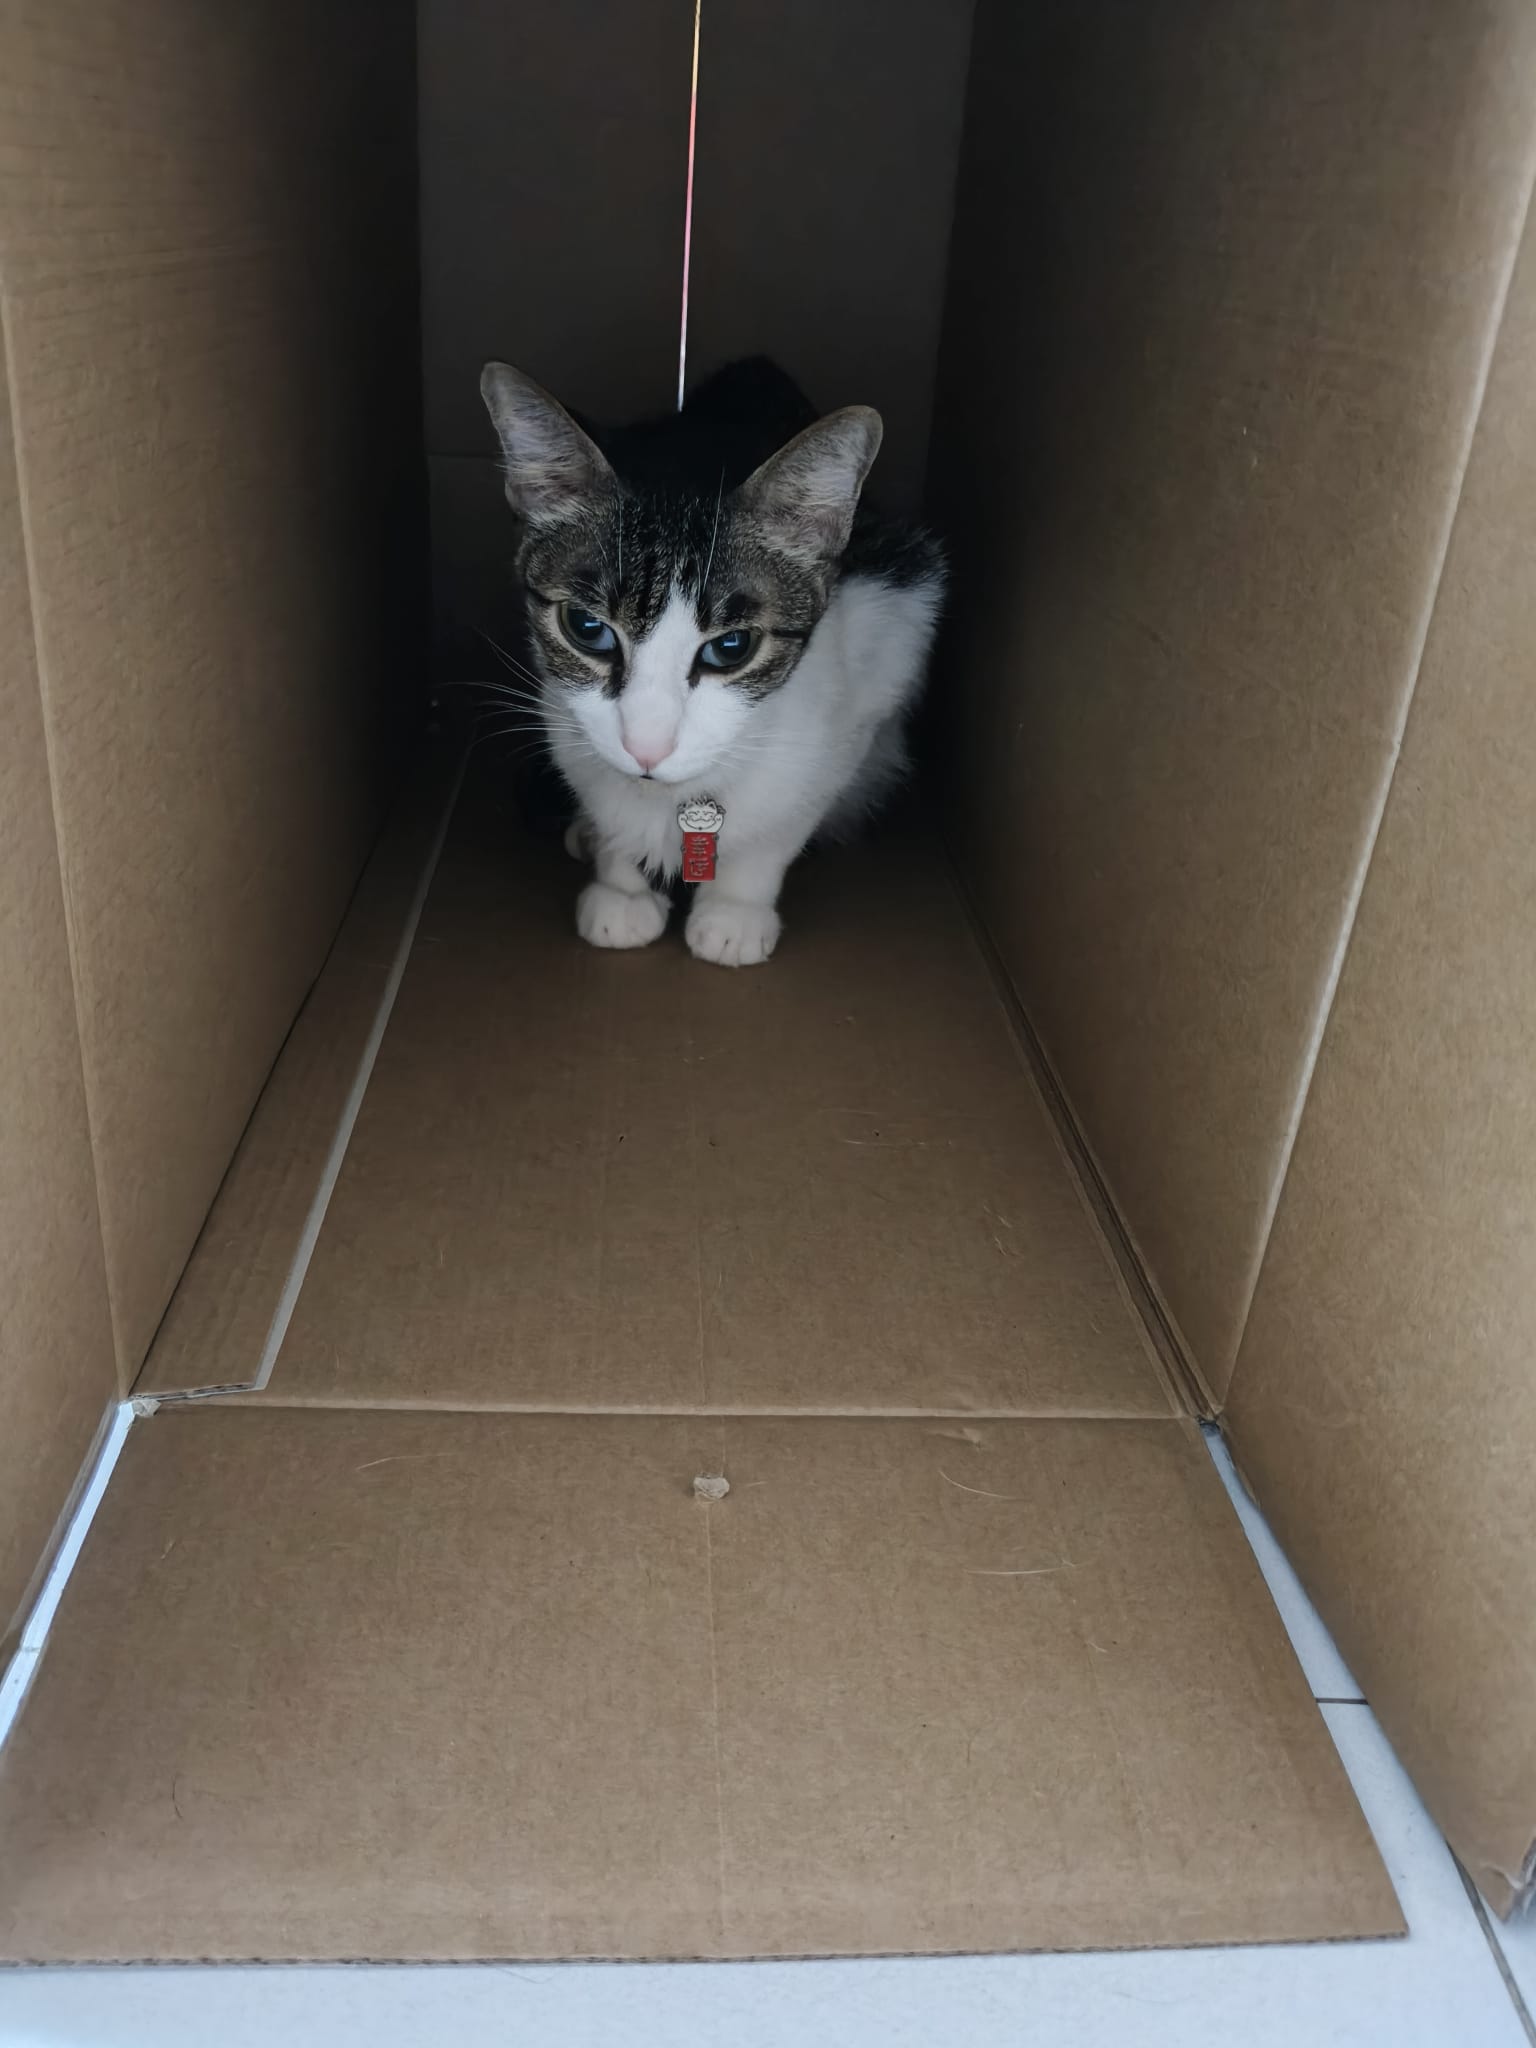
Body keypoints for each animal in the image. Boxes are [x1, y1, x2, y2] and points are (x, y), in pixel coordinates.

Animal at [479, 356, 945, 966]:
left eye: (731, 647)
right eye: (587, 628)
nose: (646, 749)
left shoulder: (885, 642)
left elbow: (790, 809)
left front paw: (734, 911)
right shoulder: (562, 712)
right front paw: (621, 882)